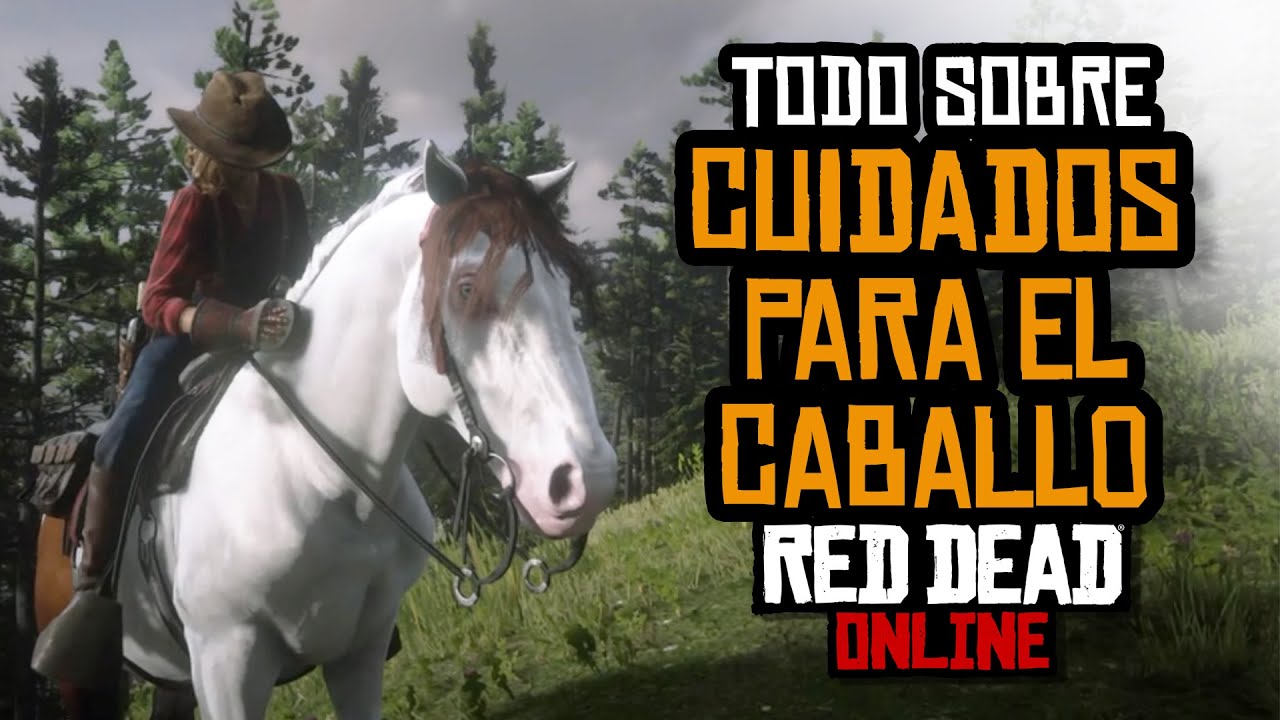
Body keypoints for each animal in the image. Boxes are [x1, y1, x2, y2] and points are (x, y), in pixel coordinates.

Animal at [29, 140, 619, 719]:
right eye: (467, 288)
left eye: (566, 285)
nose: (585, 480)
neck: (315, 474)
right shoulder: (228, 661)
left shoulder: (361, 651)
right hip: (89, 680)